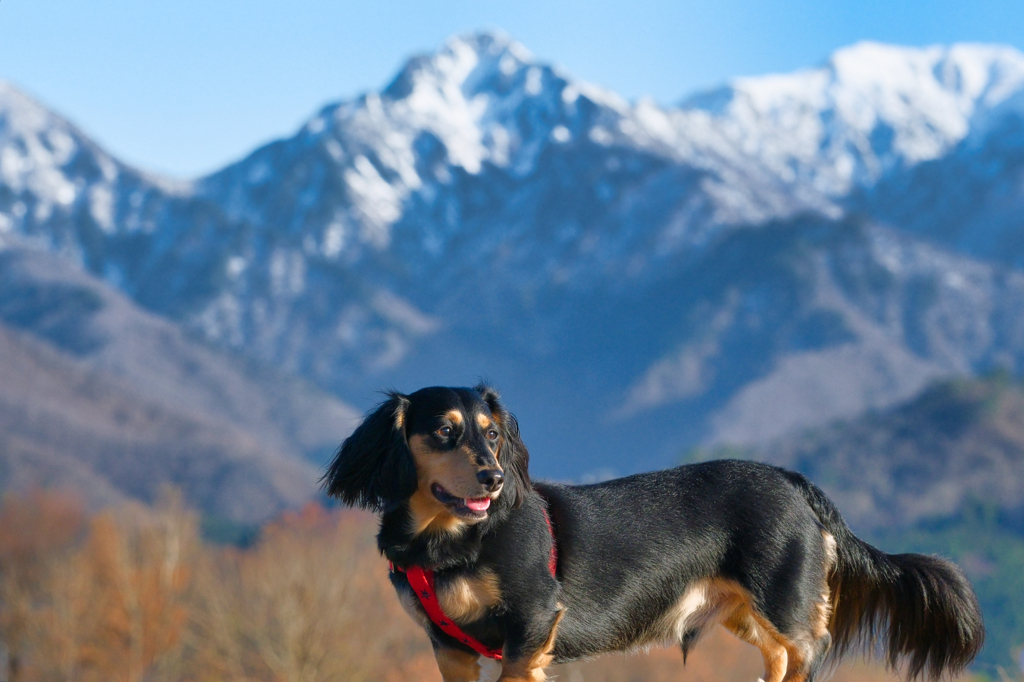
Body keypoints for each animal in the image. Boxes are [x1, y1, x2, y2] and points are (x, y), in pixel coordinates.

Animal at [323, 382, 987, 679]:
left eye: (490, 433)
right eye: (445, 431)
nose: (493, 477)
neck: (454, 541)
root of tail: (796, 483)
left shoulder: (531, 626)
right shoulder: (451, 648)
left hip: (784, 600)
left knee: (804, 654)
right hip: (748, 612)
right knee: (778, 658)